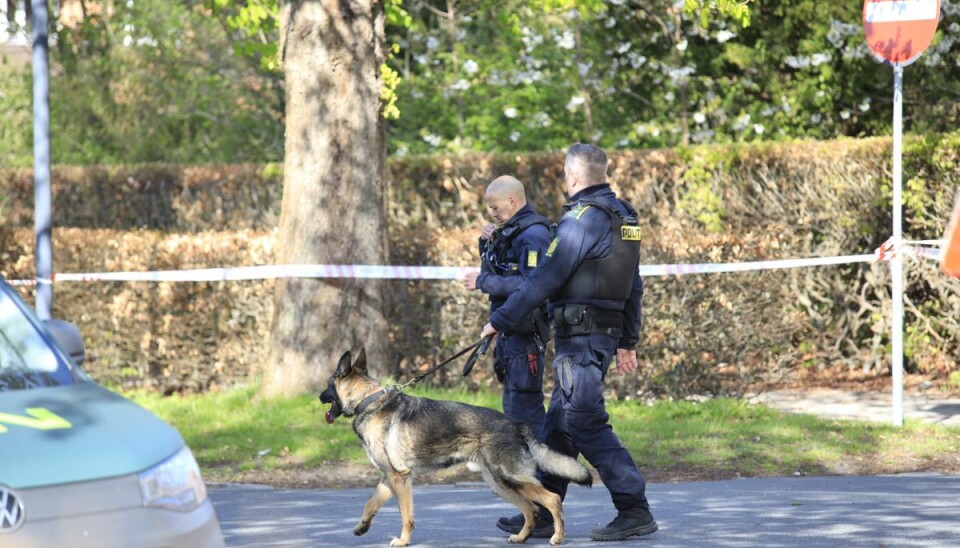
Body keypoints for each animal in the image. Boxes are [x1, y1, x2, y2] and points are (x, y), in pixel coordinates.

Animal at [322, 348, 592, 544]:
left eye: (327, 385)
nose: (319, 396)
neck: (369, 401)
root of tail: (518, 424)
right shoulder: (390, 478)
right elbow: (371, 503)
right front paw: (361, 527)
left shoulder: (400, 478)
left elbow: (406, 516)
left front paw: (403, 541)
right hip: (500, 483)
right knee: (531, 508)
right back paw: (521, 537)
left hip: (509, 479)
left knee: (552, 499)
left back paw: (557, 536)